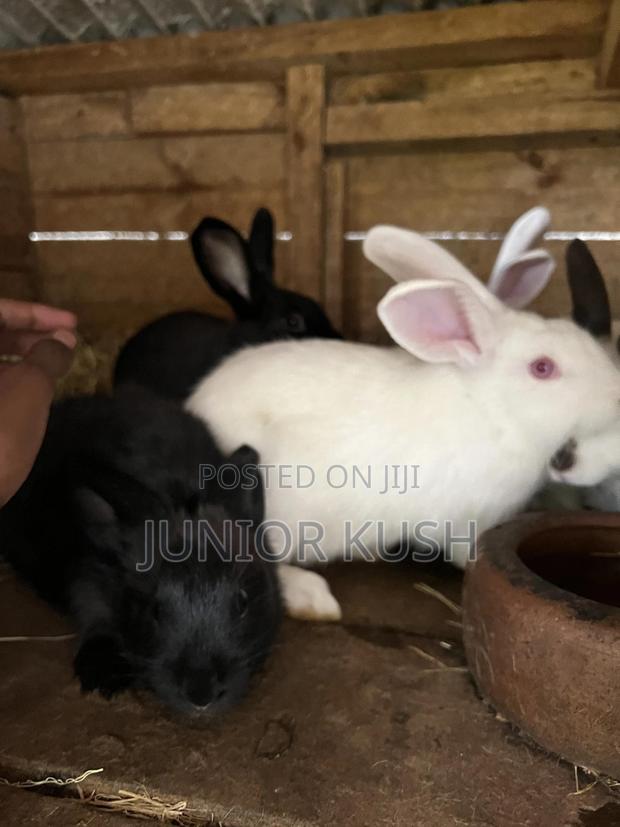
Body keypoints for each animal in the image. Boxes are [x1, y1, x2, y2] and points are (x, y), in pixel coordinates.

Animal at [0, 387, 282, 714]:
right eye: (154, 610)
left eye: (242, 602)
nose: (201, 696)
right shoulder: (90, 576)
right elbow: (95, 615)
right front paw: (101, 676)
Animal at [185, 225, 620, 621]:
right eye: (543, 368)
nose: (615, 392)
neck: (492, 410)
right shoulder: (464, 521)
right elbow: (464, 551)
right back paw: (313, 597)